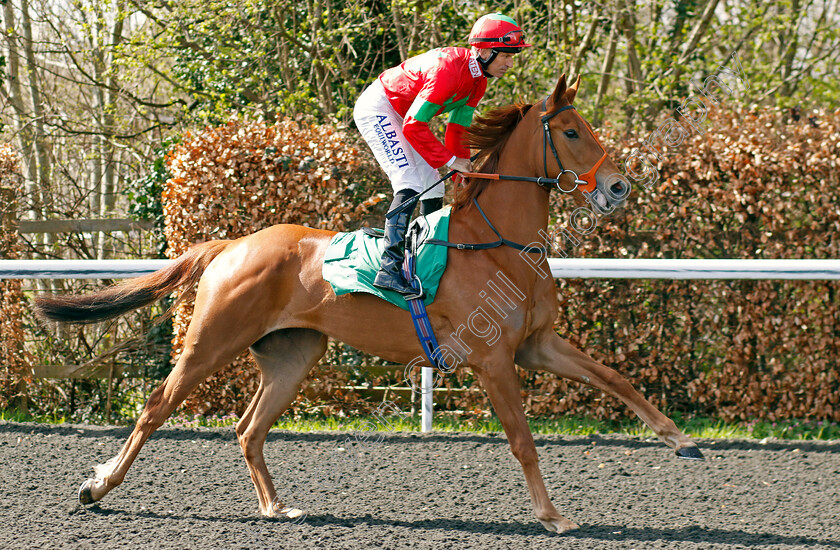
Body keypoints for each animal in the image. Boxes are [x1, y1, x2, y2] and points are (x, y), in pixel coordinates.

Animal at [34, 74, 704, 536]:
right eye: (570, 132)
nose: (618, 187)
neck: (497, 244)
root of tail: (232, 243)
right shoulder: (493, 360)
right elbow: (521, 439)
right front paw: (551, 515)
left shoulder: (536, 345)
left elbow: (615, 377)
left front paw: (681, 441)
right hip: (210, 341)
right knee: (155, 407)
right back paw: (98, 489)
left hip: (292, 355)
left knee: (249, 429)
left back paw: (276, 507)